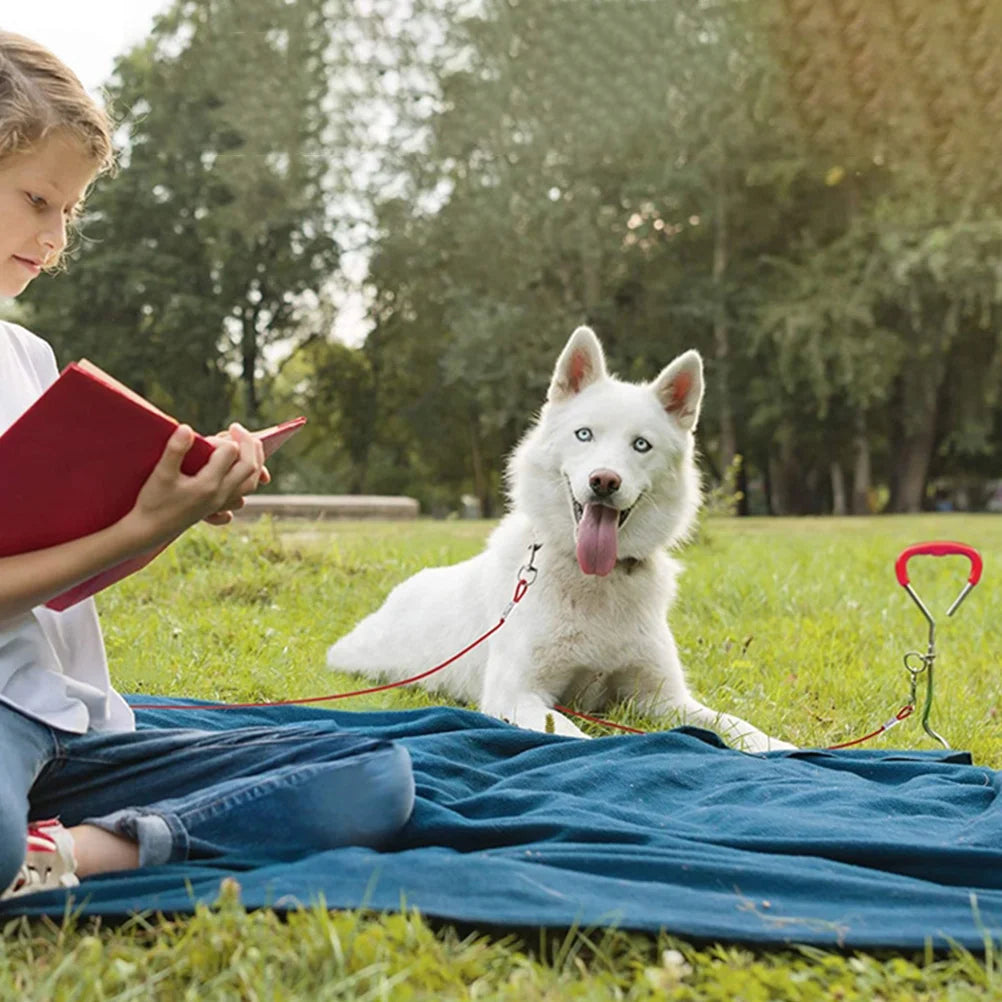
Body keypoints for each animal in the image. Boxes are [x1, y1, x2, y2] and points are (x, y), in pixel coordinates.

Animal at [326, 324, 789, 749]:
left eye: (641, 445)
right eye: (584, 434)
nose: (604, 481)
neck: (594, 583)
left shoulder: (663, 698)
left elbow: (733, 722)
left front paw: (778, 746)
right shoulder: (518, 695)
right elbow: (569, 733)